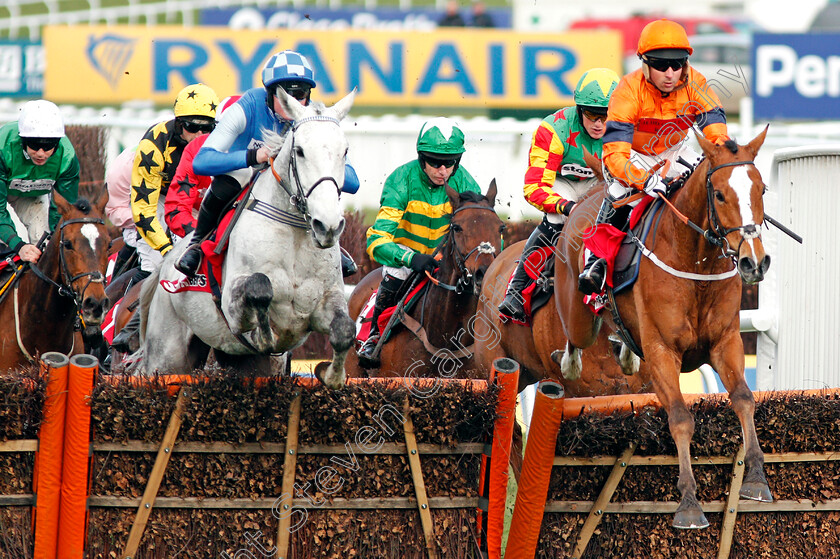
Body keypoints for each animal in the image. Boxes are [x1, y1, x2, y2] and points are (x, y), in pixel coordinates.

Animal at [137, 92, 358, 390]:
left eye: (344, 151)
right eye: (300, 151)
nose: (328, 226)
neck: (294, 236)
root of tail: (165, 266)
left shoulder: (326, 303)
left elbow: (345, 330)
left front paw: (331, 374)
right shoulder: (232, 304)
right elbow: (259, 287)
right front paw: (265, 335)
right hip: (167, 354)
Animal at [556, 131, 772, 528]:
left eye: (761, 189)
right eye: (720, 194)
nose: (754, 262)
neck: (696, 263)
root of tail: (592, 195)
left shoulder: (726, 342)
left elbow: (744, 398)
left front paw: (756, 478)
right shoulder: (661, 352)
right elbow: (681, 417)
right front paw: (688, 503)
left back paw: (624, 351)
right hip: (578, 316)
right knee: (575, 339)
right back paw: (571, 361)